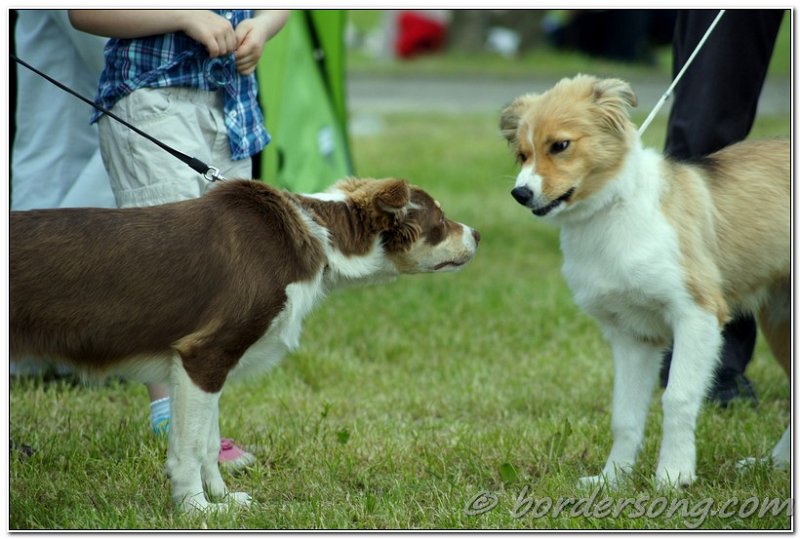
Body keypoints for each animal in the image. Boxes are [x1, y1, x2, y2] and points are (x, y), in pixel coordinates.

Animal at [9, 178, 478, 516]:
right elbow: (189, 448)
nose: (477, 233)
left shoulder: (203, 368)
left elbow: (208, 442)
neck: (321, 238)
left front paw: (222, 497)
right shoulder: (204, 355)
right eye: (441, 220)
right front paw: (196, 510)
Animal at [500, 74, 788, 492]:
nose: (520, 194)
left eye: (560, 145)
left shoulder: (696, 313)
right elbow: (624, 415)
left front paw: (673, 474)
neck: (610, 211)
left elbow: (678, 397)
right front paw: (612, 479)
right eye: (522, 154)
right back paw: (775, 464)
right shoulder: (632, 334)